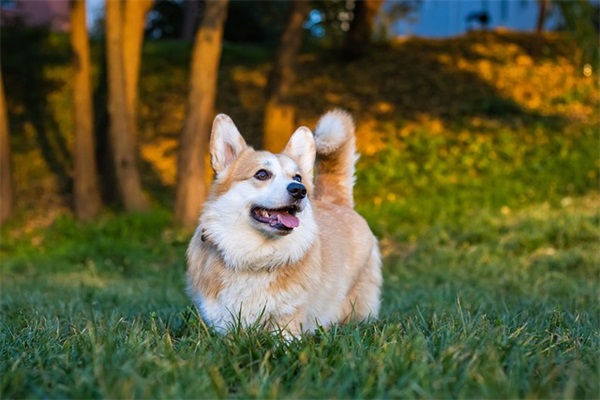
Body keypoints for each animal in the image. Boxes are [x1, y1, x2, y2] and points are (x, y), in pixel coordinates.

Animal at [188, 108, 382, 334]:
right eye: (262, 174)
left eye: (297, 178)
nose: (299, 190)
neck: (256, 256)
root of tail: (336, 202)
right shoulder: (224, 322)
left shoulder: (288, 319)